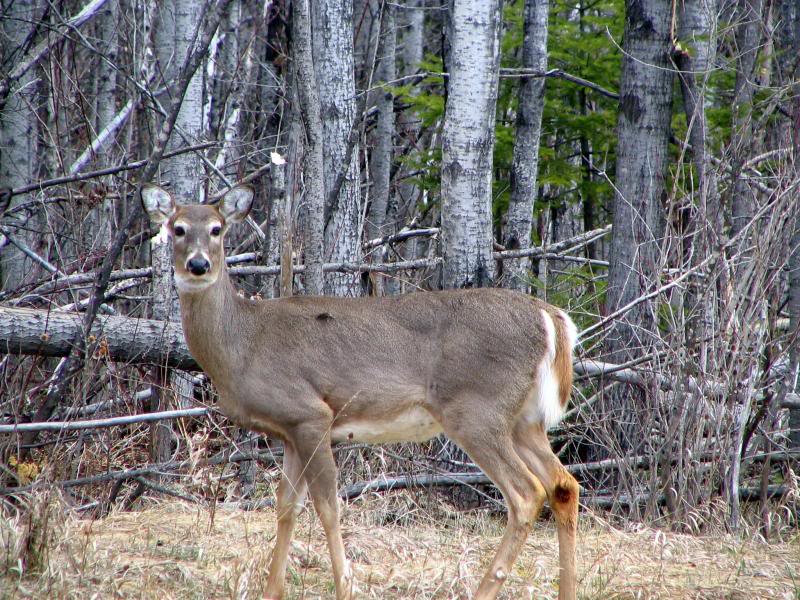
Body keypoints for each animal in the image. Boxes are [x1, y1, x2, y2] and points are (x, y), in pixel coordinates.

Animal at [141, 183, 580, 600]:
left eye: (217, 229)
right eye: (177, 228)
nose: (199, 264)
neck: (243, 344)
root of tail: (551, 317)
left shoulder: (310, 413)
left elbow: (328, 506)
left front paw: (346, 586)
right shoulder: (289, 431)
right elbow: (286, 506)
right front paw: (272, 590)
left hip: (477, 409)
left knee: (526, 493)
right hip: (523, 419)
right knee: (563, 484)